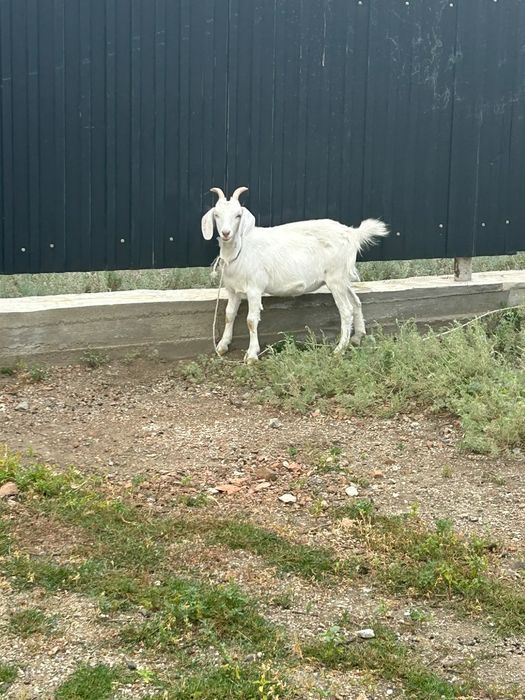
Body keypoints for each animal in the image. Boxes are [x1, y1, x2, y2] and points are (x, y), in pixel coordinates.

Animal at [201, 186, 388, 363]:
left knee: (346, 310)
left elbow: (251, 321)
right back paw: (357, 337)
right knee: (356, 302)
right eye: (216, 214)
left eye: (238, 215)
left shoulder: (254, 288)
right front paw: (222, 346)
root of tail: (352, 233)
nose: (226, 233)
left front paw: (252, 355)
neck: (240, 250)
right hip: (343, 278)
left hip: (335, 279)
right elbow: (229, 315)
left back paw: (339, 349)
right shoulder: (233, 290)